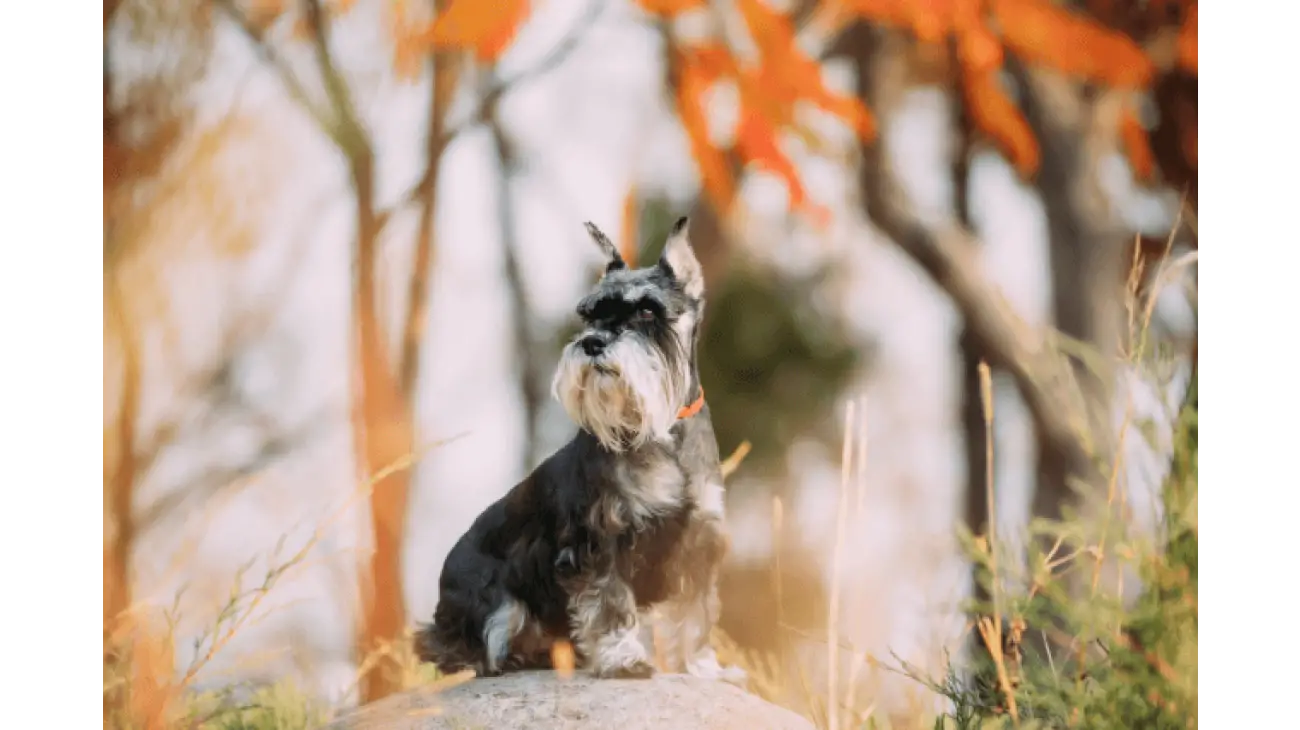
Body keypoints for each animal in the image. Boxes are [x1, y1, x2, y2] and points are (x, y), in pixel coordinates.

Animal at [410, 216, 748, 680]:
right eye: (590, 314)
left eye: (647, 309)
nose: (592, 344)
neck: (661, 432)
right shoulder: (598, 541)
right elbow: (611, 604)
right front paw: (623, 657)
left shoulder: (699, 540)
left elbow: (696, 615)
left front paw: (703, 667)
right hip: (496, 604)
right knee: (478, 646)